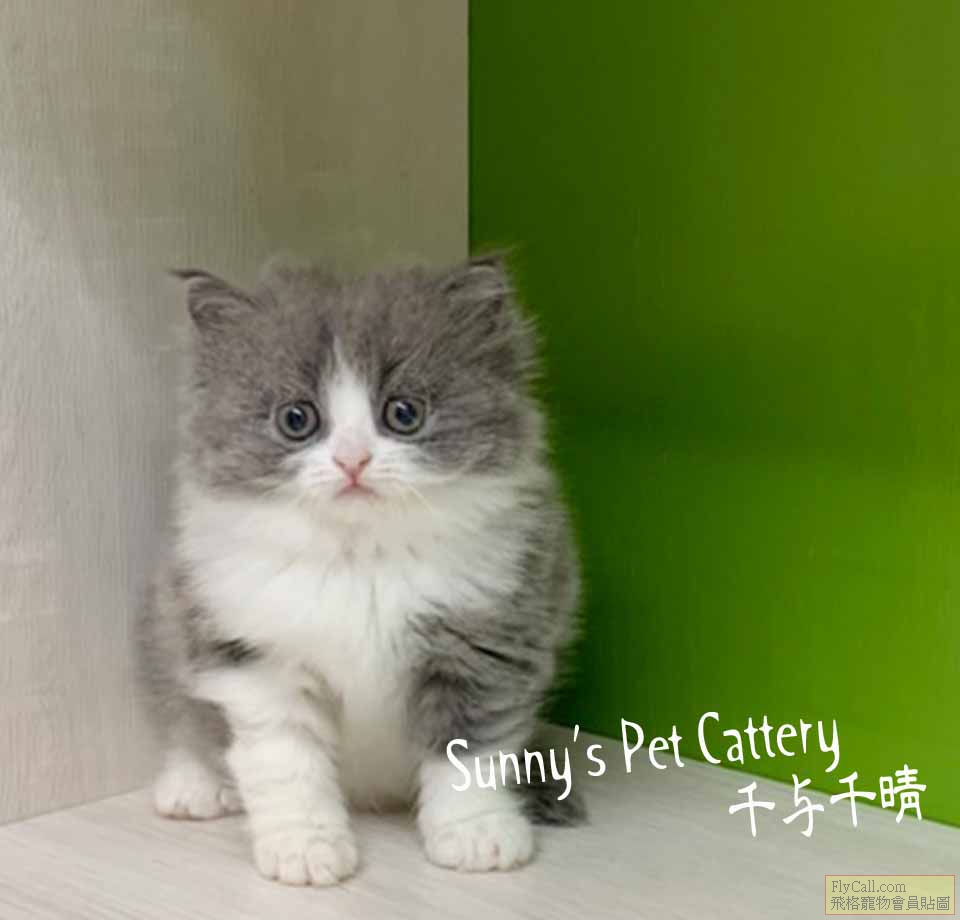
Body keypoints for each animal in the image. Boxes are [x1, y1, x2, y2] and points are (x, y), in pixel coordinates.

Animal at [136, 255, 583, 886]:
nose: (353, 460)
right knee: (181, 711)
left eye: (404, 413)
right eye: (297, 419)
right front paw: (304, 846)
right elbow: (287, 762)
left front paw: (475, 835)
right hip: (165, 614)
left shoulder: (486, 641)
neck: (360, 560)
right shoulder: (254, 659)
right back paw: (194, 783)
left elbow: (469, 752)